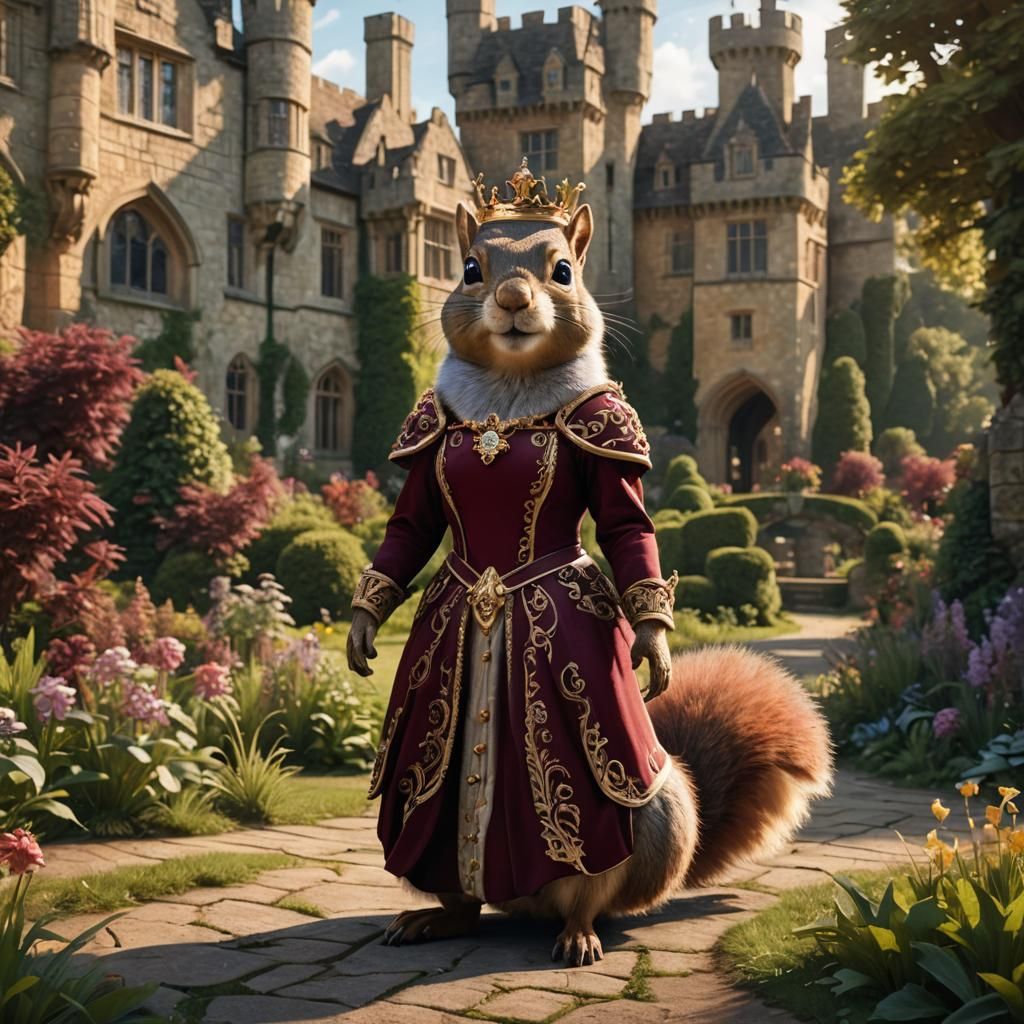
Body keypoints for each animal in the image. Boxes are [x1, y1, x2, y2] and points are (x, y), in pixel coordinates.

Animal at [348, 190, 834, 967]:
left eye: (564, 271)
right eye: (470, 269)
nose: (514, 300)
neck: (508, 395)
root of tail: (523, 903)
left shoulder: (608, 434)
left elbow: (629, 531)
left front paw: (654, 647)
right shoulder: (428, 442)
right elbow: (407, 532)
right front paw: (363, 629)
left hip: (634, 815)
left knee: (594, 889)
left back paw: (577, 933)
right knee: (465, 898)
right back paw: (440, 916)